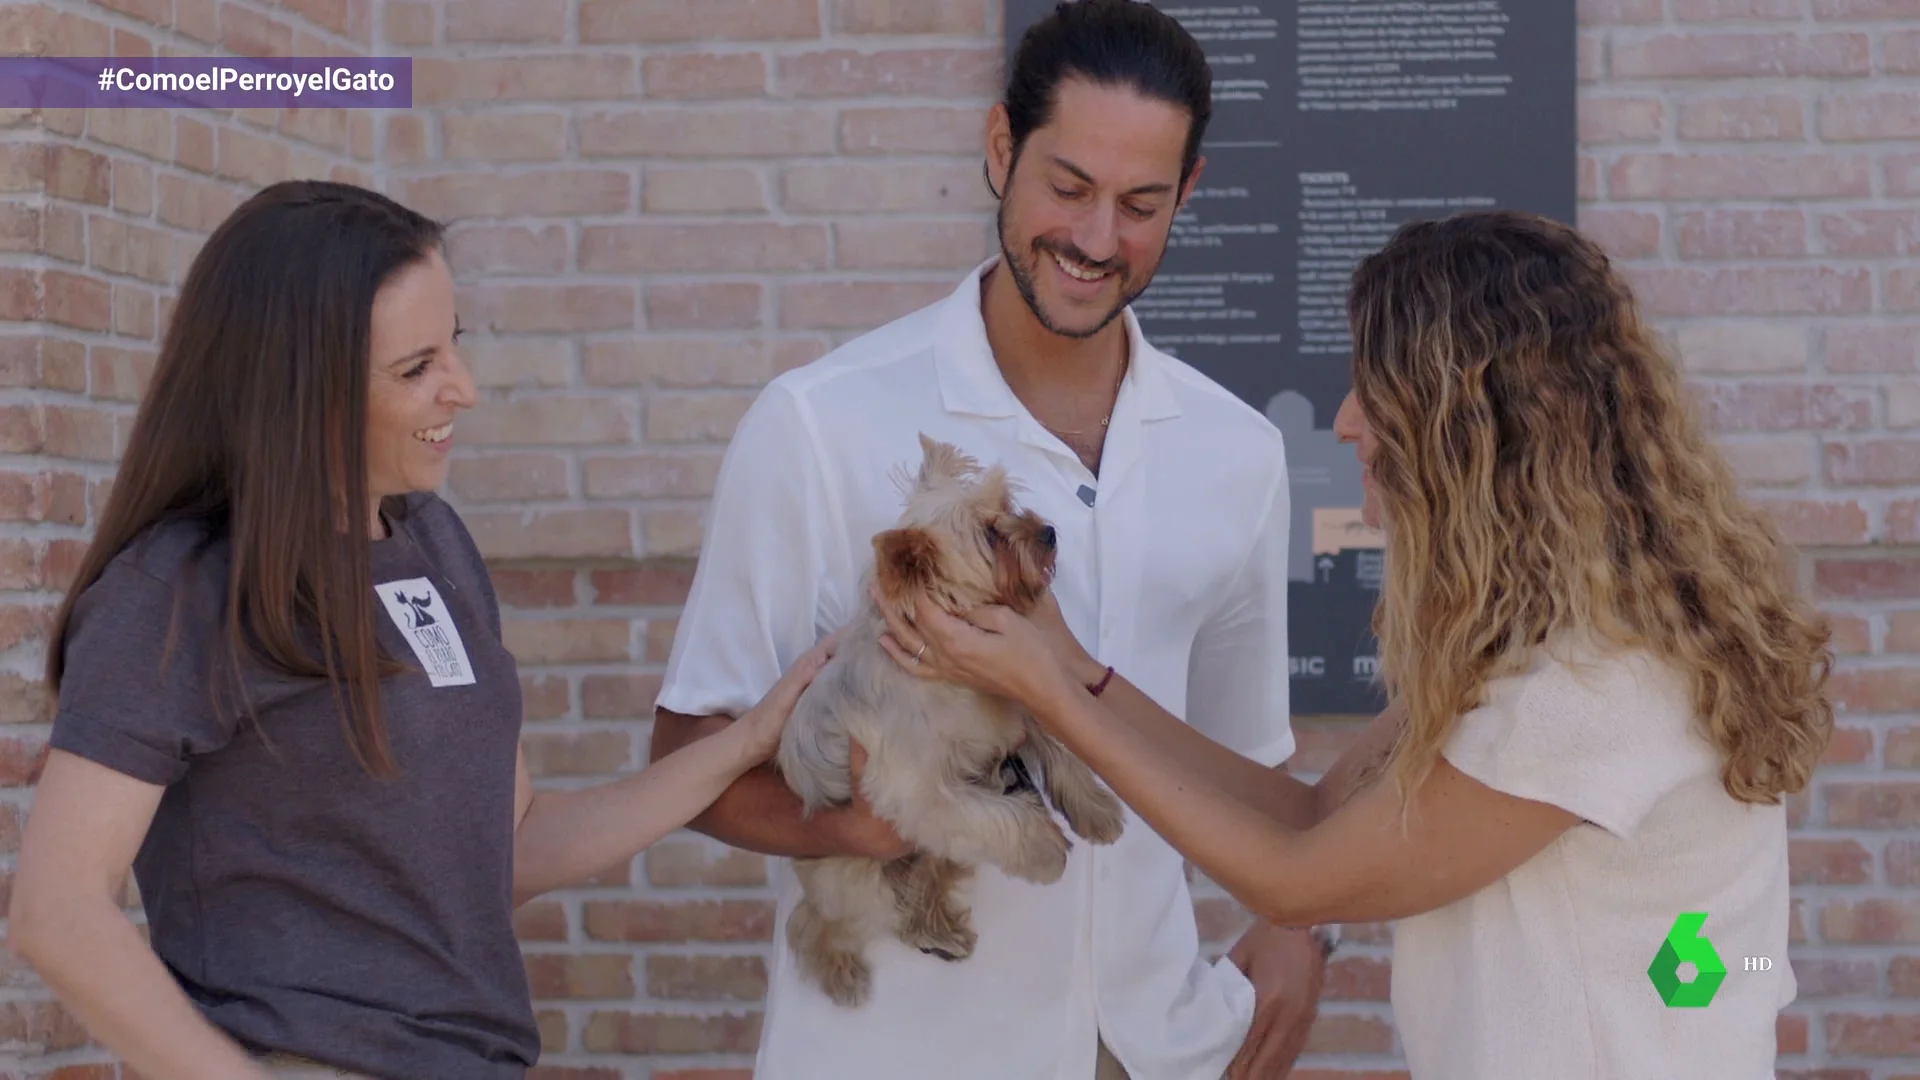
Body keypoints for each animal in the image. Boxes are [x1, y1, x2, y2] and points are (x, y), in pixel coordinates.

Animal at [768, 432, 1121, 1006]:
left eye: (1009, 507)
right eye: (991, 536)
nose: (1047, 531)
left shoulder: (1015, 707)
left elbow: (1061, 747)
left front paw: (1096, 811)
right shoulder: (924, 795)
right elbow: (1007, 819)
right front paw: (1047, 849)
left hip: (936, 853)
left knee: (925, 881)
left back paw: (938, 928)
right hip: (853, 878)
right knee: (818, 922)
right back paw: (840, 970)